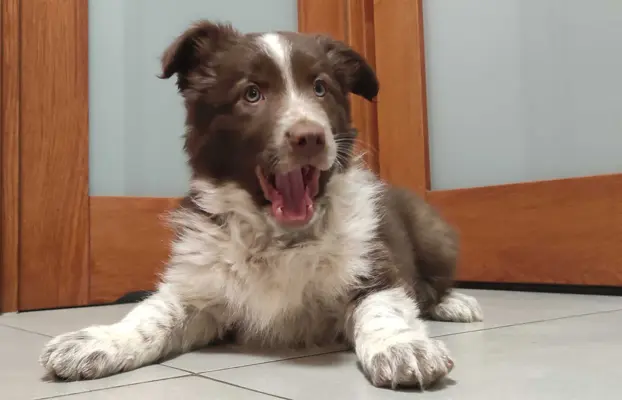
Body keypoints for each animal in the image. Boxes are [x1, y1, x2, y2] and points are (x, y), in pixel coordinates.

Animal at [41, 21, 486, 388]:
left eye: (320, 88)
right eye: (251, 94)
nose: (310, 138)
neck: (278, 237)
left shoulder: (374, 267)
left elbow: (384, 308)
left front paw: (402, 348)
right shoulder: (199, 288)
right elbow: (153, 314)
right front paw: (100, 340)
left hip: (433, 232)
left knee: (433, 284)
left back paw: (455, 303)